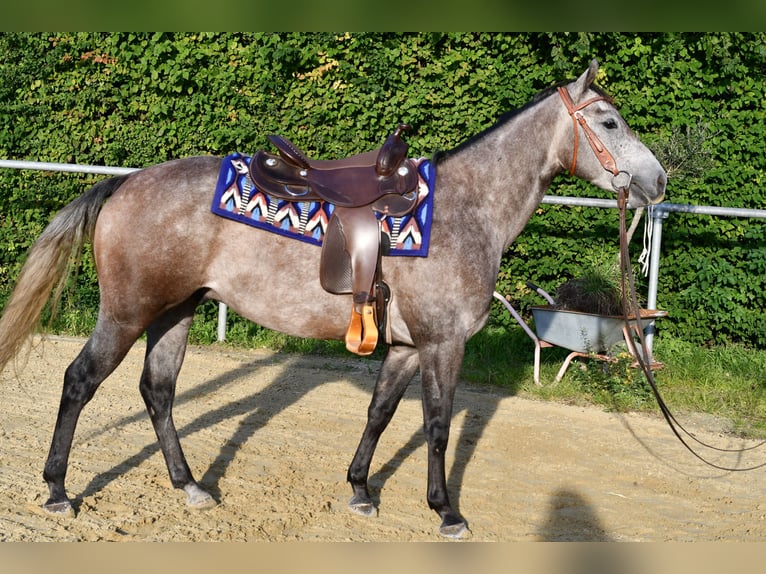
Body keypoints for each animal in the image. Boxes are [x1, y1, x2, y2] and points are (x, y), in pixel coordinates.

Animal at [0, 59, 666, 538]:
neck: (466, 209)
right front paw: (446, 512)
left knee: (158, 391)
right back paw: (57, 491)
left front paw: (361, 490)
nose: (658, 181)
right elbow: (439, 425)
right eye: (609, 123)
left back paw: (190, 486)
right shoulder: (443, 344)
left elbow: (380, 413)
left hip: (175, 313)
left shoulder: (406, 346)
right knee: (79, 381)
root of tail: (123, 183)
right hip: (127, 313)